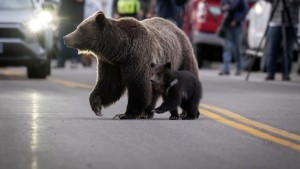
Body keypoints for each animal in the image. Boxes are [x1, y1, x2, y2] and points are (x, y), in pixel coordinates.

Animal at [63, 11, 199, 119]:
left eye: (80, 29)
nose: (66, 37)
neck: (119, 50)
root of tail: (178, 28)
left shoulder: (138, 58)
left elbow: (139, 86)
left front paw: (125, 114)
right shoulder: (111, 64)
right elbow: (108, 84)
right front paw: (96, 104)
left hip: (181, 58)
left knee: (189, 77)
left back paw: (188, 113)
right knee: (154, 90)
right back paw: (147, 113)